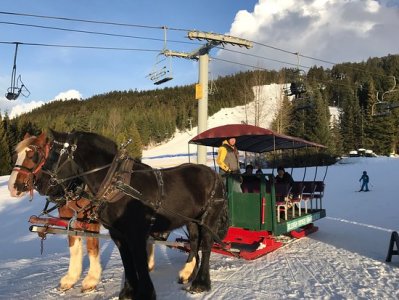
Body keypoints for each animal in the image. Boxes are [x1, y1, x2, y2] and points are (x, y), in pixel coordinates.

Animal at [8, 132, 101, 292]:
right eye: (16, 156)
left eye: (32, 155)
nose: (12, 188)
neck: (76, 184)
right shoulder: (69, 219)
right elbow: (73, 246)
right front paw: (71, 278)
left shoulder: (91, 221)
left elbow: (91, 247)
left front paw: (91, 280)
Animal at [30, 130, 228, 298]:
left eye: (54, 154)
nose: (39, 184)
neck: (116, 184)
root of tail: (214, 174)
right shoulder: (118, 235)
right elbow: (127, 262)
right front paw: (128, 292)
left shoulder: (136, 234)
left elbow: (139, 262)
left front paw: (146, 293)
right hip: (192, 220)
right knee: (194, 242)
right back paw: (187, 273)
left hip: (209, 217)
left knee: (206, 245)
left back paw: (201, 282)